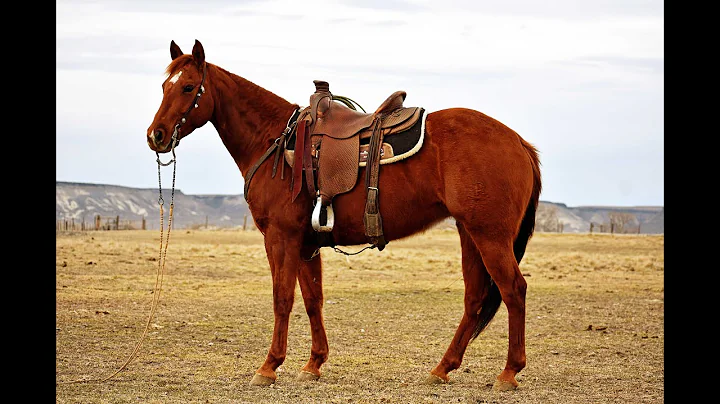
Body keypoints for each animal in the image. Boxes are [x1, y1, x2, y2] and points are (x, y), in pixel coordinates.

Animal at [146, 39, 540, 390]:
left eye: (188, 87)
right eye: (164, 85)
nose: (156, 136)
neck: (273, 142)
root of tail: (519, 142)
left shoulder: (280, 237)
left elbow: (282, 299)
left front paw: (269, 366)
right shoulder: (306, 245)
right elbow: (312, 300)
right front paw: (313, 364)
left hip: (489, 235)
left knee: (513, 290)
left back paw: (508, 373)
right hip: (468, 233)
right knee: (475, 297)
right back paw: (442, 368)